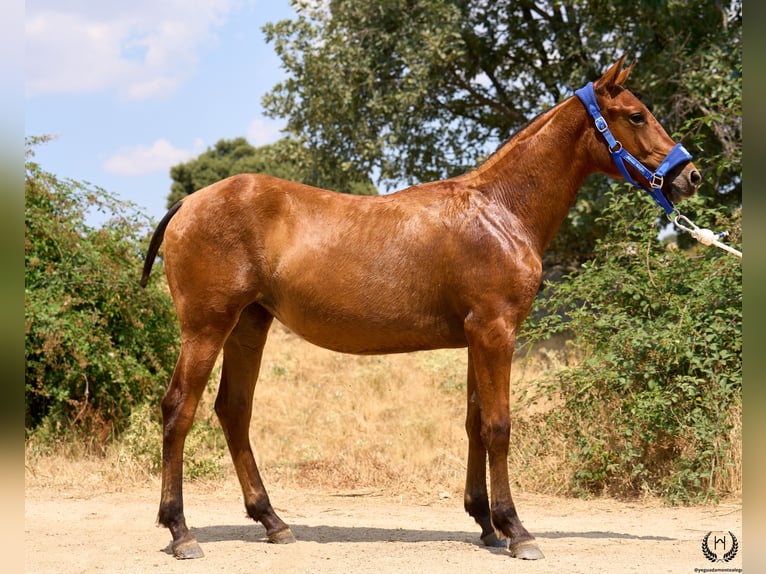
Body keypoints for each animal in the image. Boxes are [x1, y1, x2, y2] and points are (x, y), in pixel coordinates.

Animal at [140, 57, 700, 561]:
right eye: (636, 115)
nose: (690, 176)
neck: (500, 209)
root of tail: (187, 204)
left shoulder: (479, 336)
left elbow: (475, 422)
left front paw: (486, 523)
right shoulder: (496, 332)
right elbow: (499, 426)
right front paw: (517, 530)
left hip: (249, 325)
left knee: (233, 410)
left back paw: (273, 522)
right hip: (207, 328)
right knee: (179, 410)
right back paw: (181, 531)